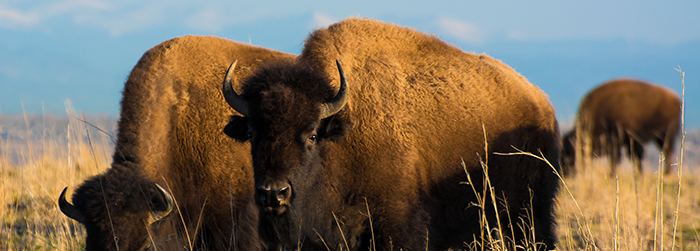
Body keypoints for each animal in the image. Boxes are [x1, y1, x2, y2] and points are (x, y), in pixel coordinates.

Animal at [221, 18, 560, 251]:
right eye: (251, 132)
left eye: (312, 135)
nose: (272, 194)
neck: (342, 137)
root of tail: (540, 101)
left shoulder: (398, 225)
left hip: (530, 212)